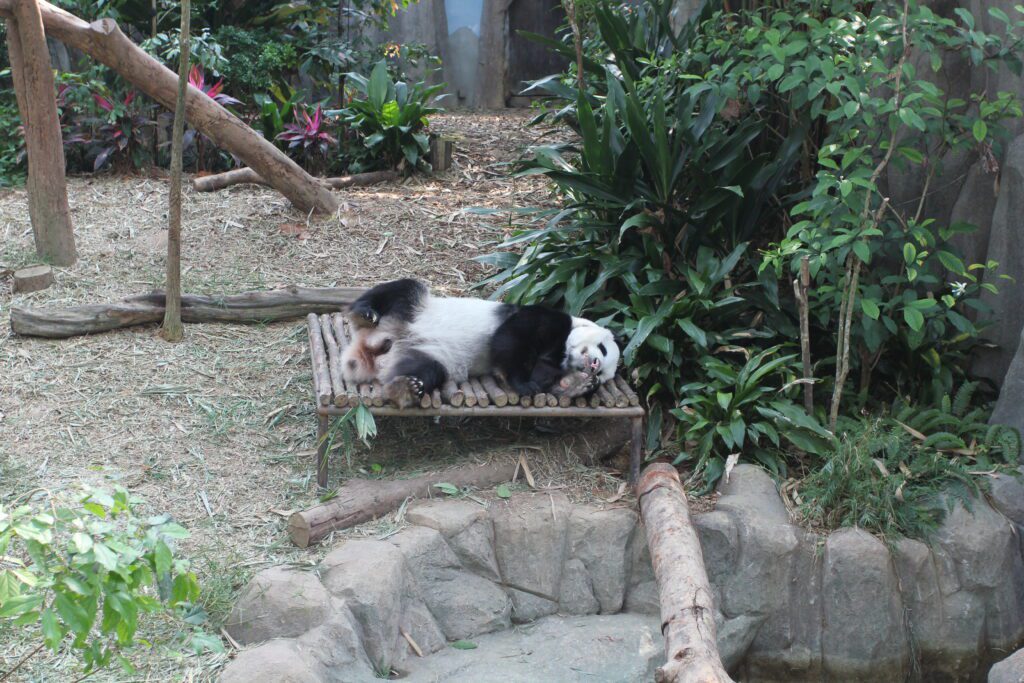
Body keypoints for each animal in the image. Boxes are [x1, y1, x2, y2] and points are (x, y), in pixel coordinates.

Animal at [340, 278, 620, 408]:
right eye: (603, 349)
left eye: (603, 374)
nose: (594, 366)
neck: (562, 352)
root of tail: (368, 348)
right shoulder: (550, 319)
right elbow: (511, 338)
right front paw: (522, 384)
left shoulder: (553, 364)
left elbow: (547, 380)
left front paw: (579, 385)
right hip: (414, 308)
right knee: (403, 290)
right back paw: (363, 313)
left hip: (428, 354)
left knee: (424, 367)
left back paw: (406, 388)